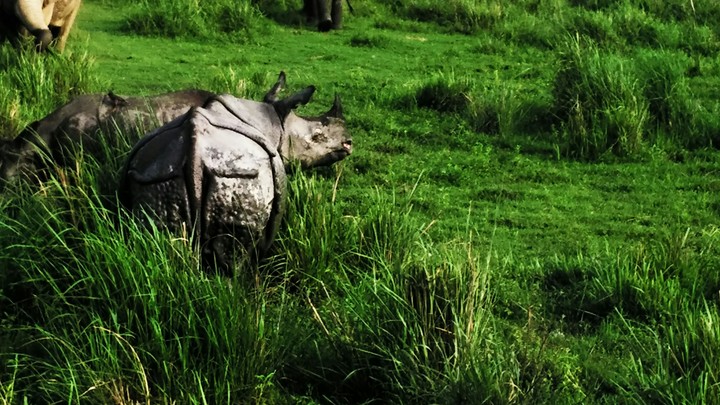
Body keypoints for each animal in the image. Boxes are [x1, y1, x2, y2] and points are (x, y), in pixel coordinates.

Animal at [118, 71, 352, 271]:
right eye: (317, 137)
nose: (348, 143)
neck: (273, 122)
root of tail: (194, 151)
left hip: (156, 177)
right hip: (237, 175)